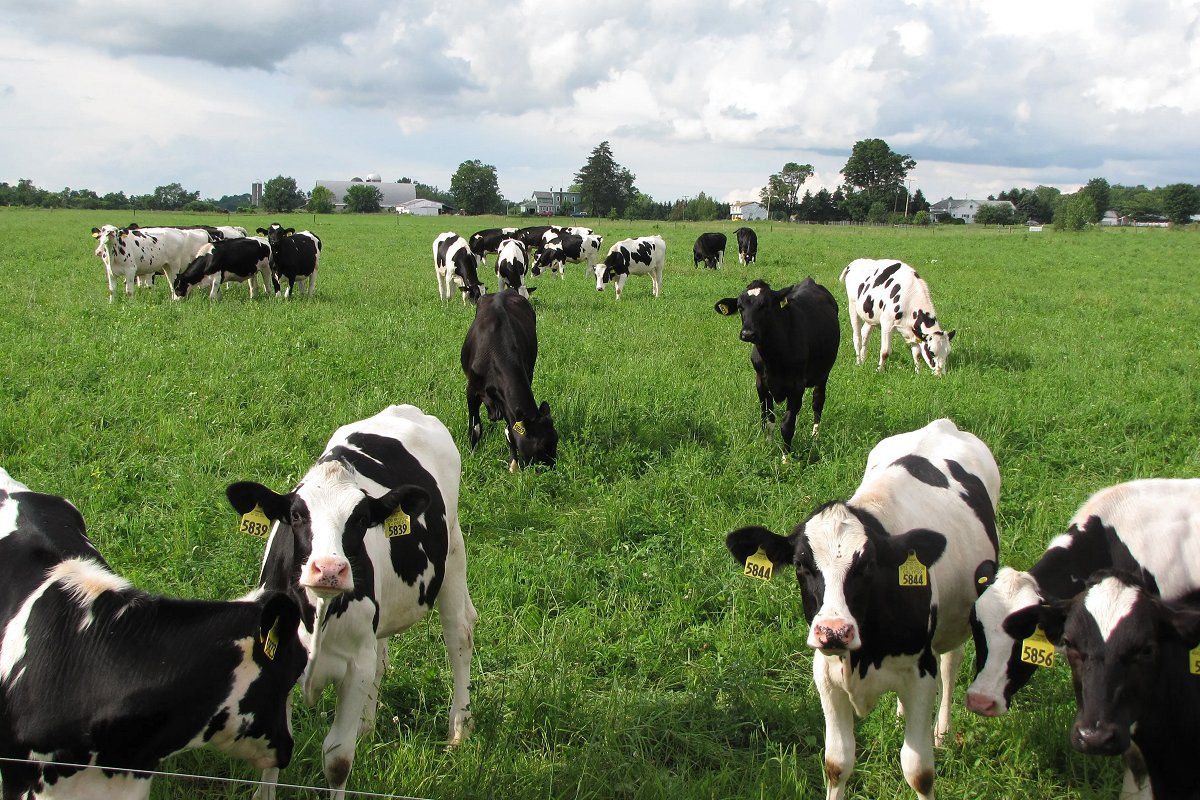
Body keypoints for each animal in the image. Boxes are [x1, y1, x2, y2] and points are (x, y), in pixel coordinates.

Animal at [225, 404, 477, 800]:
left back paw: (458, 729)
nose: (329, 569)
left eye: (360, 519)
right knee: (381, 659)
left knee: (459, 635)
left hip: (452, 551)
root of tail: (403, 409)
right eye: (297, 515)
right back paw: (366, 727)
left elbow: (338, 759)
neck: (317, 615)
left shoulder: (354, 666)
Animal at [461, 290, 558, 472]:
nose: (552, 469)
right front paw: (472, 456)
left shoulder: (506, 398)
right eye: (540, 447)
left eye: (556, 440)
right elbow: (475, 428)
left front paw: (514, 466)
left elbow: (510, 431)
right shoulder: (471, 390)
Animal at [713, 278, 840, 461]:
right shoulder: (761, 382)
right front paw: (768, 447)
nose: (747, 334)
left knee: (818, 402)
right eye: (740, 306)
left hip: (823, 373)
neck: (774, 356)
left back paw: (815, 437)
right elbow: (767, 419)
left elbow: (787, 424)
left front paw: (785, 458)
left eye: (765, 305)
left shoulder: (797, 385)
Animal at [725, 419, 1001, 800]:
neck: (862, 656)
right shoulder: (826, 676)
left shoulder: (920, 676)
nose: (834, 631)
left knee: (950, 663)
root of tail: (943, 424)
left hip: (957, 619)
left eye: (868, 566)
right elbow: (837, 764)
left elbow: (919, 771)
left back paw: (942, 731)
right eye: (801, 565)